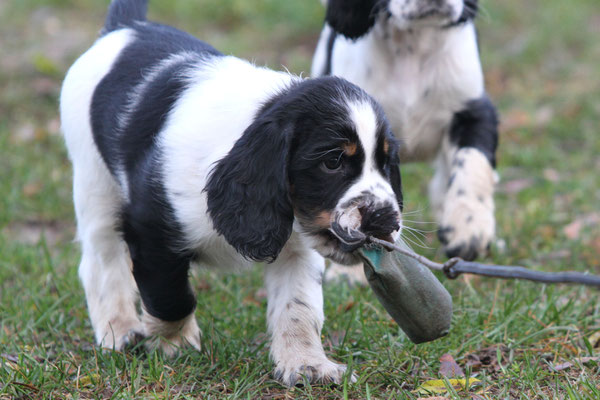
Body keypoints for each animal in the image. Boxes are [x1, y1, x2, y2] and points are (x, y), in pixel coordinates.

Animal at [59, 0, 404, 388]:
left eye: (387, 162)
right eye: (333, 162)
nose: (385, 219)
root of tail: (125, 27)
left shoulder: (297, 251)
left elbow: (298, 308)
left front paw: (307, 365)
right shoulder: (152, 229)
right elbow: (170, 297)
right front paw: (174, 343)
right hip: (95, 183)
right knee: (101, 264)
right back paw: (119, 330)